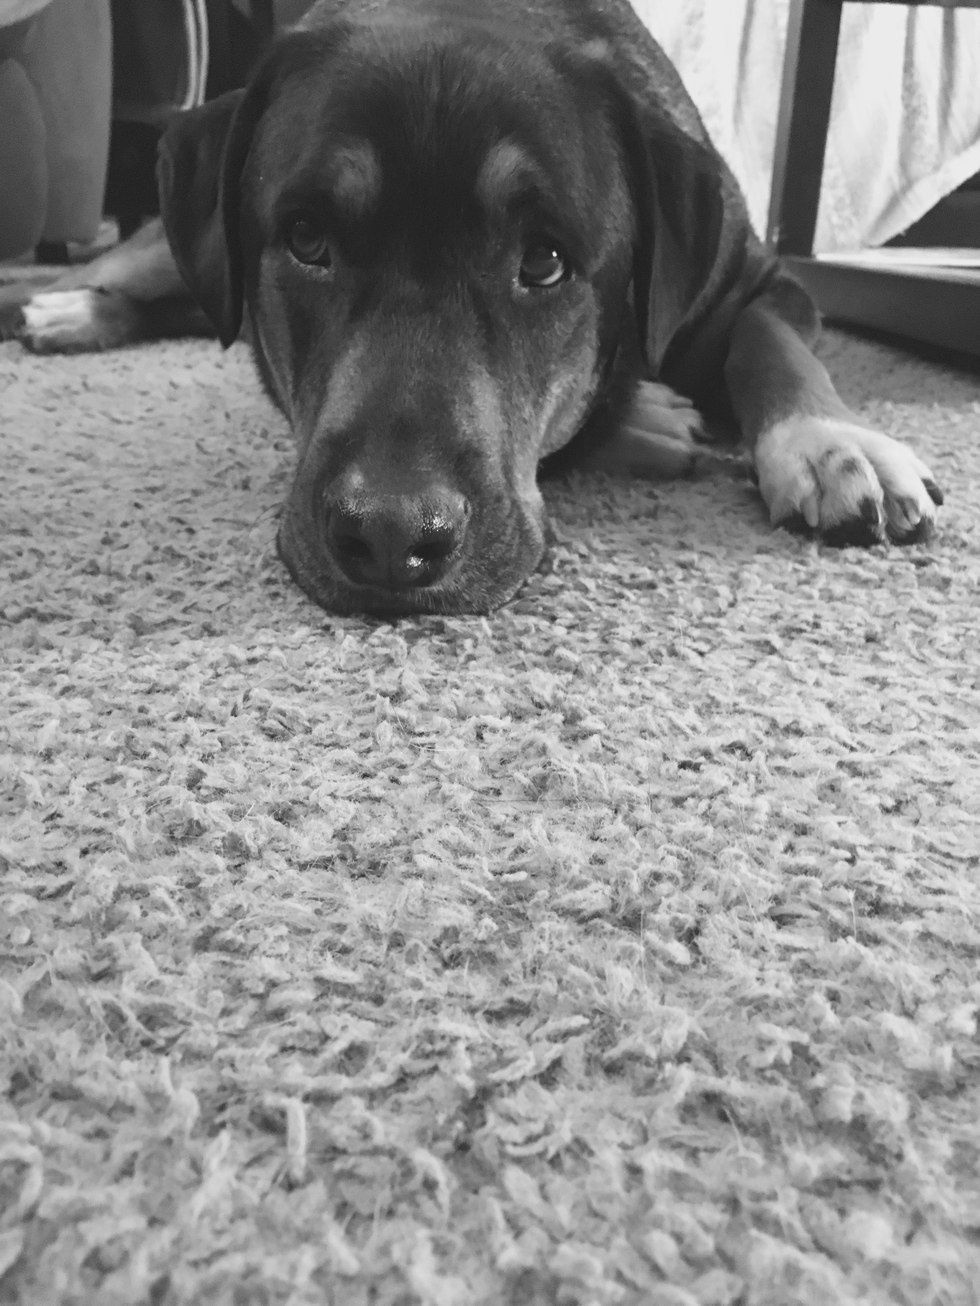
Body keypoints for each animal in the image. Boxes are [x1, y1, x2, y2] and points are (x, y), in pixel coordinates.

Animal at [5, 0, 944, 615]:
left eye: (545, 260)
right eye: (307, 239)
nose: (390, 536)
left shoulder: (754, 276)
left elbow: (770, 341)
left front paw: (827, 441)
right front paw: (651, 420)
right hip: (167, 243)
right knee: (139, 269)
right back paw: (62, 308)